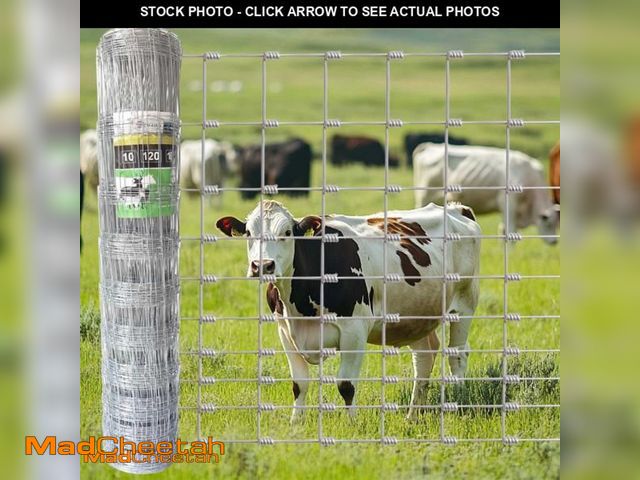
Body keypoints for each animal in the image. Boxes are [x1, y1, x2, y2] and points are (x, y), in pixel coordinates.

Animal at [216, 200, 481, 422]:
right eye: (249, 233)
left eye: (287, 233)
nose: (262, 266)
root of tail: (456, 208)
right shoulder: (284, 331)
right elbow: (299, 384)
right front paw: (295, 424)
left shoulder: (354, 330)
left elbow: (346, 384)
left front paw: (352, 423)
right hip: (417, 315)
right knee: (424, 356)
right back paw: (413, 415)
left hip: (464, 303)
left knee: (457, 354)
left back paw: (457, 403)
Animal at [413, 143, 559, 244]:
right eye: (549, 223)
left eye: (556, 224)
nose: (554, 242)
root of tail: (430, 146)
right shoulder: (508, 205)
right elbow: (509, 233)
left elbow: (503, 231)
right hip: (424, 196)